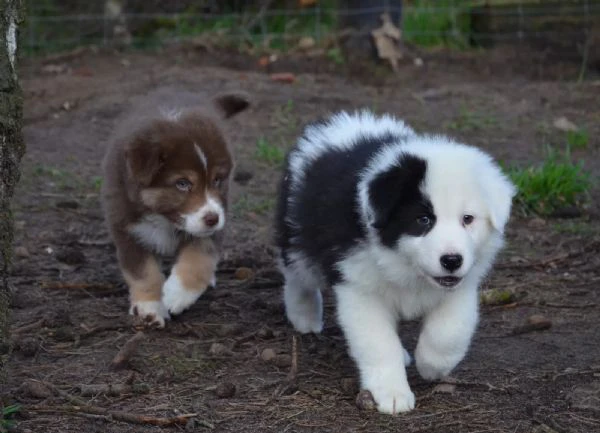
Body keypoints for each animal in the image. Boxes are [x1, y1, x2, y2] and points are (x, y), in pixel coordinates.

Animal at [102, 93, 247, 326]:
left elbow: (197, 261)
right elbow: (143, 273)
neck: (163, 218)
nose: (213, 219)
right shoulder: (128, 230)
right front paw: (150, 308)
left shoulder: (210, 230)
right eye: (182, 183)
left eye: (217, 180)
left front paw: (174, 295)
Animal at [274, 110, 512, 412]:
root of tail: (342, 121)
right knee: (297, 274)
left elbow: (449, 331)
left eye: (467, 219)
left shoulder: (461, 285)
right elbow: (378, 342)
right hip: (298, 233)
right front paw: (391, 393)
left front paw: (432, 365)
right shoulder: (359, 287)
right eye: (423, 219)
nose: (451, 260)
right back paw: (304, 316)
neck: (407, 266)